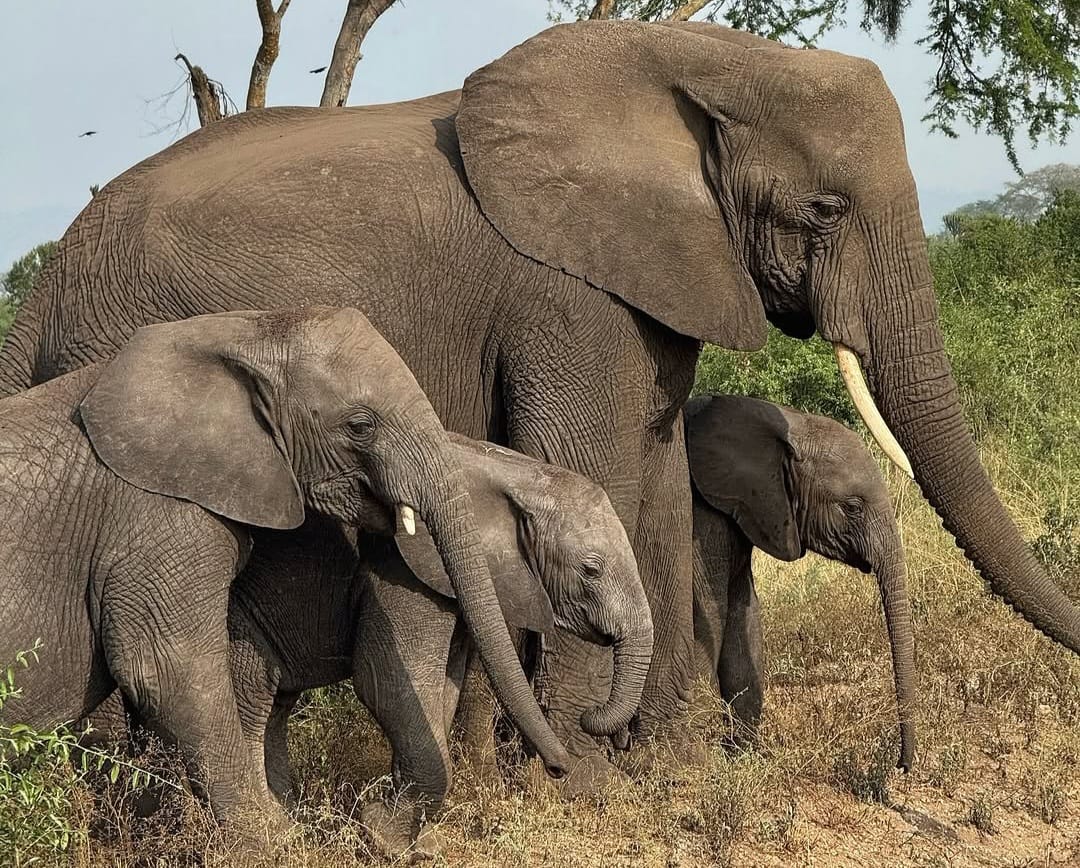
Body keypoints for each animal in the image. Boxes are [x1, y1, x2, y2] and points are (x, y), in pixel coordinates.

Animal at [0, 306, 568, 822]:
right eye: (360, 426)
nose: (560, 769)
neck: (239, 332)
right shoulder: (157, 515)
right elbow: (167, 670)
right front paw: (280, 838)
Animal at [220, 434, 651, 857]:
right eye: (591, 570)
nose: (558, 768)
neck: (516, 474)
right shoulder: (404, 567)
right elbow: (389, 684)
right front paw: (387, 839)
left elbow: (444, 692)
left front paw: (422, 842)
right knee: (253, 693)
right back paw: (273, 829)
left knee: (276, 702)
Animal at [685, 395, 916, 769]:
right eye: (853, 507)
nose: (901, 765)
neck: (790, 424)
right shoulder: (701, 519)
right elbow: (705, 614)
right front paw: (704, 759)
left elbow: (743, 615)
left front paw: (742, 758)